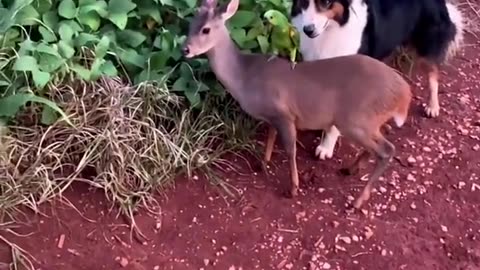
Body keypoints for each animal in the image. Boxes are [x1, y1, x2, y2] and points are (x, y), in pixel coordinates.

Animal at [181, 0, 412, 209]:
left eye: (206, 29)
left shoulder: (285, 114)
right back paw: (350, 169)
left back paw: (357, 201)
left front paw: (292, 188)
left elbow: (290, 149)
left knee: (387, 150)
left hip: (355, 120)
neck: (245, 76)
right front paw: (262, 164)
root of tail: (404, 94)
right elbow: (270, 138)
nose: (185, 49)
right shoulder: (272, 116)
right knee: (383, 138)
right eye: (191, 24)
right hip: (367, 122)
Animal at [290, 0, 464, 160]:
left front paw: (326, 147)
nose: (308, 30)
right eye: (303, 2)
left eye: (326, 2)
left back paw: (433, 106)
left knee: (433, 75)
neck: (333, 29)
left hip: (425, 46)